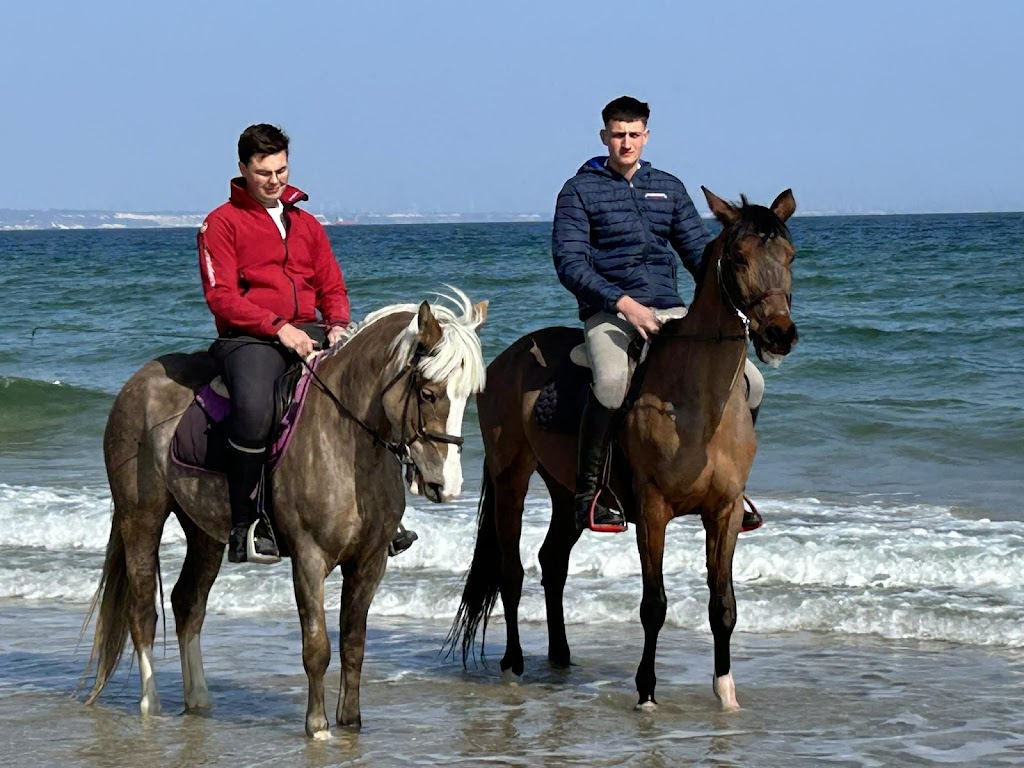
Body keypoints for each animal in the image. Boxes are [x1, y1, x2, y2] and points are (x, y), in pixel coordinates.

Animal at [83, 289, 488, 738]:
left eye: (468, 397)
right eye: (428, 392)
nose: (446, 485)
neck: (345, 439)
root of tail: (137, 382)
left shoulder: (369, 562)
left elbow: (353, 644)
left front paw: (351, 723)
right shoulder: (309, 559)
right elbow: (317, 646)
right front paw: (319, 727)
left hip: (204, 532)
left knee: (188, 603)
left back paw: (199, 701)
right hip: (141, 517)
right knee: (142, 612)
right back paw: (150, 707)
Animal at [447, 188, 797, 711]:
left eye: (790, 255)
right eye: (738, 257)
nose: (780, 334)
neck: (697, 404)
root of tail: (506, 358)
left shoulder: (726, 511)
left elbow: (723, 605)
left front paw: (726, 692)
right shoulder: (653, 511)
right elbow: (654, 605)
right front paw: (646, 692)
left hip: (566, 492)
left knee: (553, 561)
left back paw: (561, 657)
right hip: (511, 479)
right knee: (512, 571)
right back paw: (513, 664)